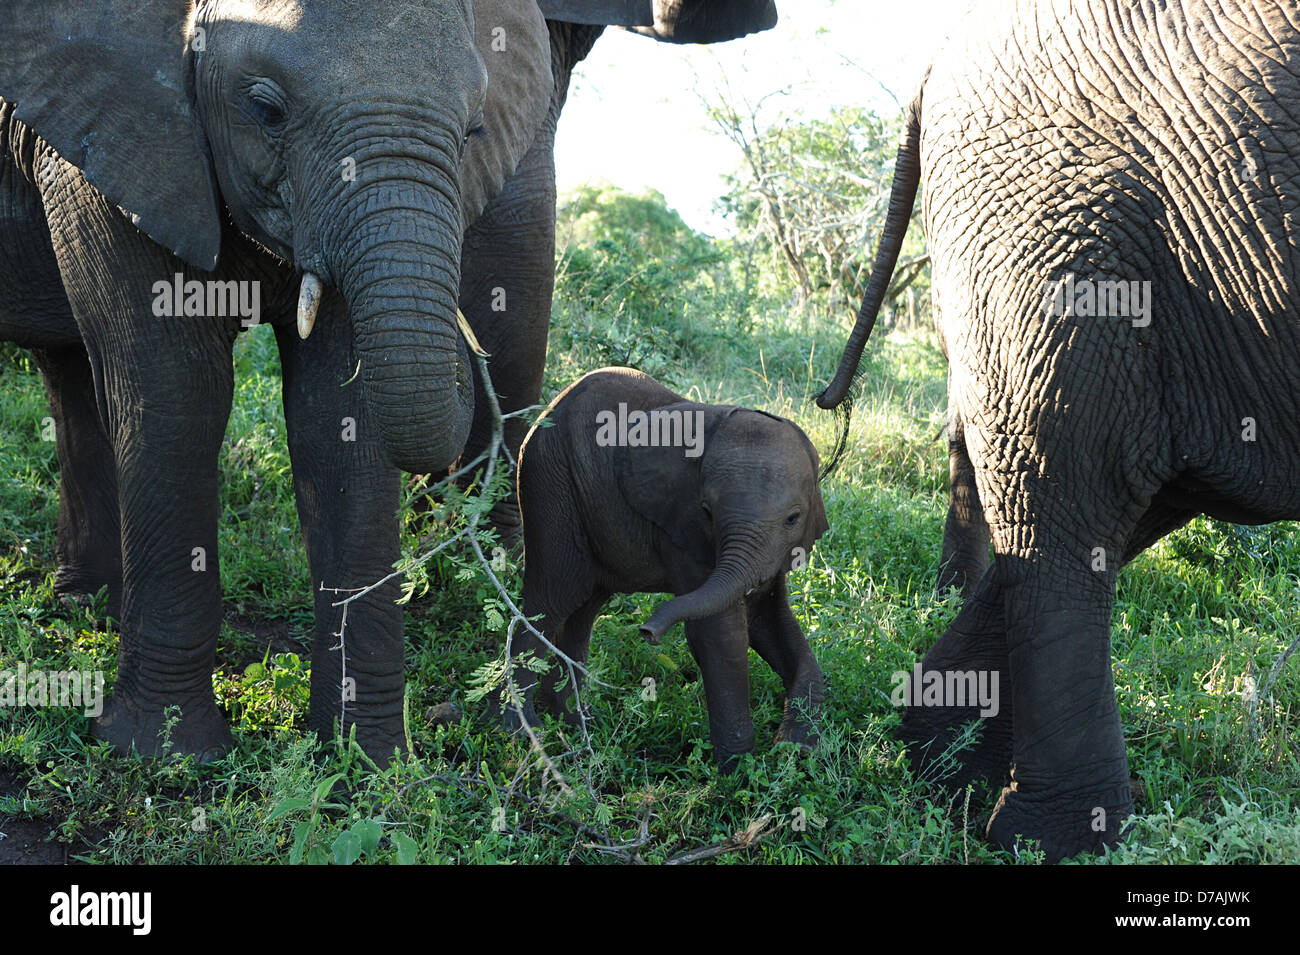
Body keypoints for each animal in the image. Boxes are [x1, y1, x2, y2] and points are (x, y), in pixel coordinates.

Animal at [0, 0, 774, 764]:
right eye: (265, 109)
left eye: (473, 128)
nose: (468, 355)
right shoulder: (110, 139)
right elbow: (175, 394)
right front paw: (165, 754)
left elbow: (339, 419)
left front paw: (366, 762)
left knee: (69, 373)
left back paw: (87, 604)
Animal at [512, 366, 826, 769]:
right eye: (707, 512)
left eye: (793, 518)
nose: (647, 632)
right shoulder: (682, 531)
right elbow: (718, 632)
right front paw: (738, 771)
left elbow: (769, 621)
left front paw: (796, 749)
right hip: (550, 486)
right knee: (551, 602)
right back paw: (521, 733)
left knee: (583, 610)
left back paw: (578, 724)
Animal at [816, 0, 1300, 862]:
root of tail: (933, 64)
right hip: (1062, 227)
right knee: (1068, 489)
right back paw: (1056, 836)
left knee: (1124, 499)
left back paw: (938, 769)